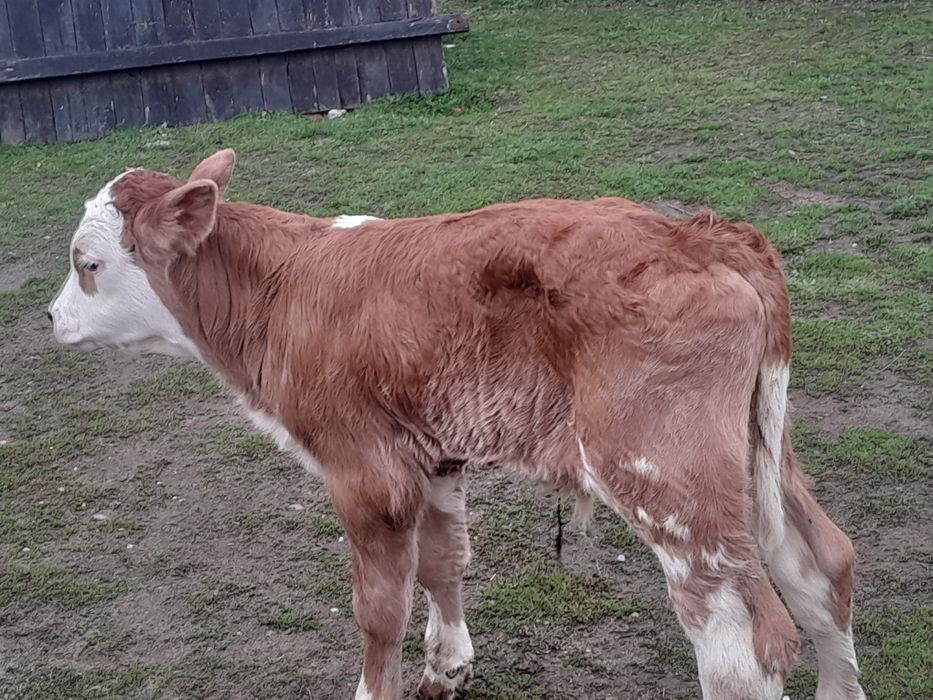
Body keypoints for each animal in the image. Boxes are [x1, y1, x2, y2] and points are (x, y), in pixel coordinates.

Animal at [48, 150, 865, 700]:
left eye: (87, 263)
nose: (51, 316)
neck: (282, 289)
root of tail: (700, 234)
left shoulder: (364, 474)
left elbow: (378, 610)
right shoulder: (432, 453)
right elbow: (443, 561)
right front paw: (447, 666)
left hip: (661, 469)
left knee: (741, 640)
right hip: (758, 453)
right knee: (821, 562)